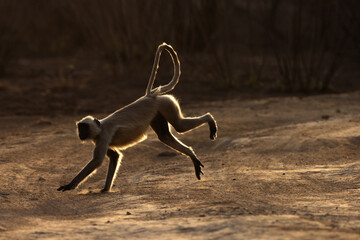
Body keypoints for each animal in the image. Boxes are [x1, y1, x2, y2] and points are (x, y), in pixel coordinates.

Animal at [57, 42, 218, 193]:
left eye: (84, 128)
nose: (80, 133)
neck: (100, 127)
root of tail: (150, 96)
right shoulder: (100, 139)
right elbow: (115, 156)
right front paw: (106, 188)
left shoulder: (103, 136)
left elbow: (97, 161)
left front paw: (70, 185)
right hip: (158, 112)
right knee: (165, 136)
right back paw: (192, 155)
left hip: (165, 103)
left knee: (180, 126)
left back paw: (210, 119)